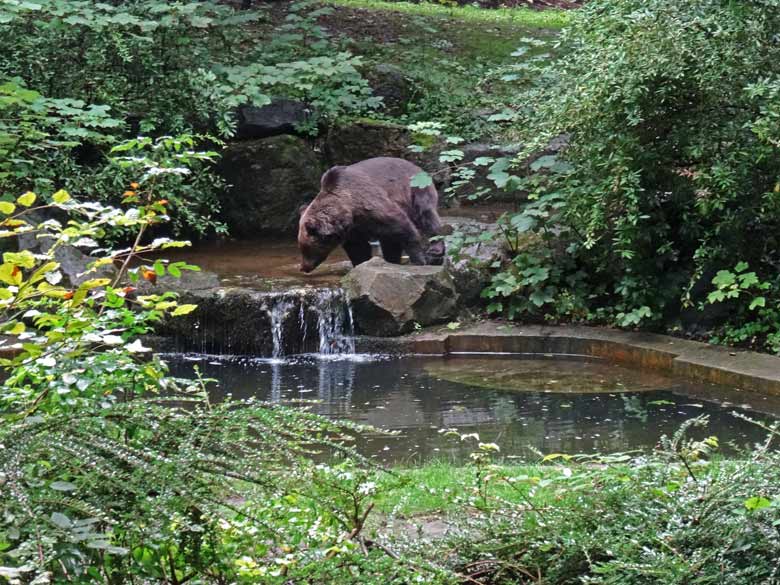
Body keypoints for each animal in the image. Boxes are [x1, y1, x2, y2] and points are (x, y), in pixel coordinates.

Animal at [298, 156, 444, 272]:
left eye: (305, 248)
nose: (304, 267)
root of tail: (418, 167)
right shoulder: (353, 230)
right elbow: (358, 248)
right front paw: (360, 264)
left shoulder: (372, 208)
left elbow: (402, 226)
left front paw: (419, 260)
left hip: (417, 190)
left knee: (427, 217)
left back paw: (435, 250)